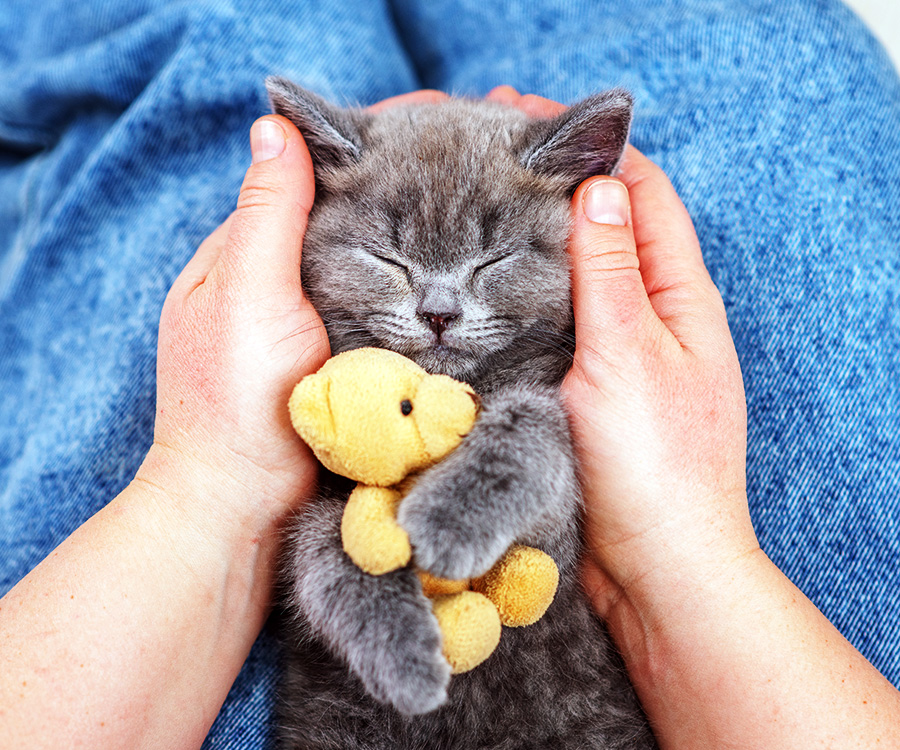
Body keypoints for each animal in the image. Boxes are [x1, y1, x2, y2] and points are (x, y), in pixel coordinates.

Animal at [266, 78, 652, 750]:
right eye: (387, 259)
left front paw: (449, 522)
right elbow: (319, 547)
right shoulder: (314, 504)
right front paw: (402, 653)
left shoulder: (563, 537)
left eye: (493, 260)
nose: (439, 313)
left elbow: (536, 431)